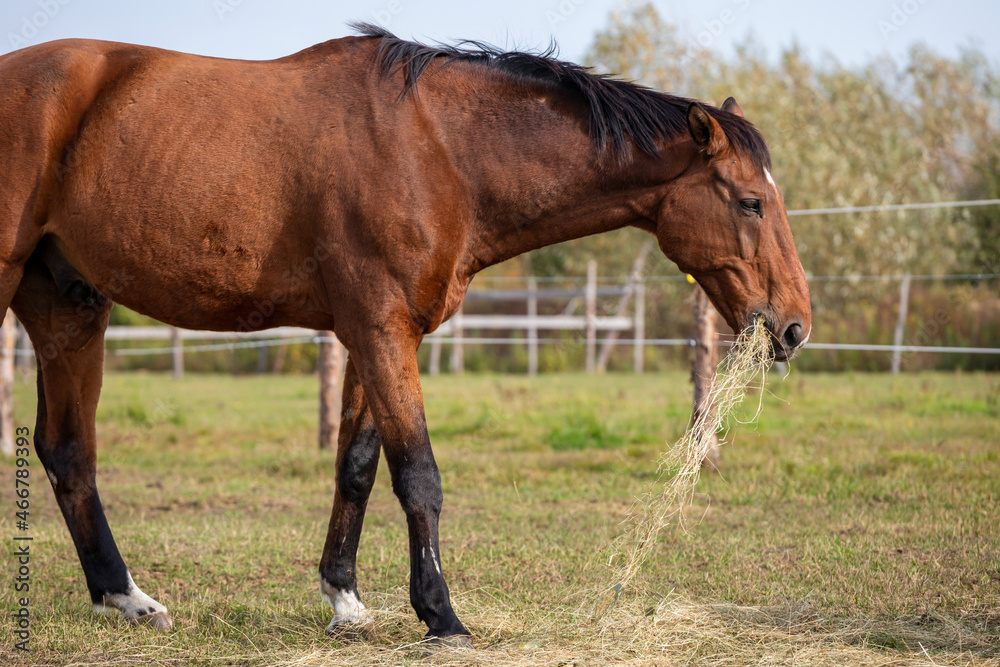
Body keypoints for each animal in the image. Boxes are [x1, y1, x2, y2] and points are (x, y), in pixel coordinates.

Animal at [0, 23, 811, 646]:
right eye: (749, 201)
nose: (795, 325)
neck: (440, 151)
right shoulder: (380, 328)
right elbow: (418, 473)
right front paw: (442, 616)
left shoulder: (376, 334)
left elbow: (356, 468)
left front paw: (346, 603)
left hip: (69, 305)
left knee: (67, 451)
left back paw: (127, 598)